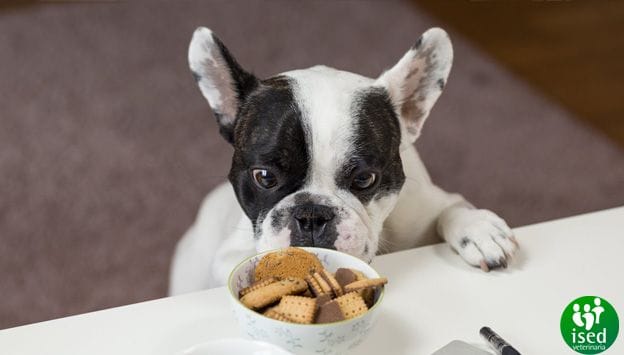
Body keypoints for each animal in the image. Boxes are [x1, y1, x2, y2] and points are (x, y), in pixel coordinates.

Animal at [168, 27, 520, 294]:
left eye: (364, 179)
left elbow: (452, 207)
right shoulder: (228, 255)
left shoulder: (426, 205)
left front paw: (479, 230)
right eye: (264, 177)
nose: (311, 215)